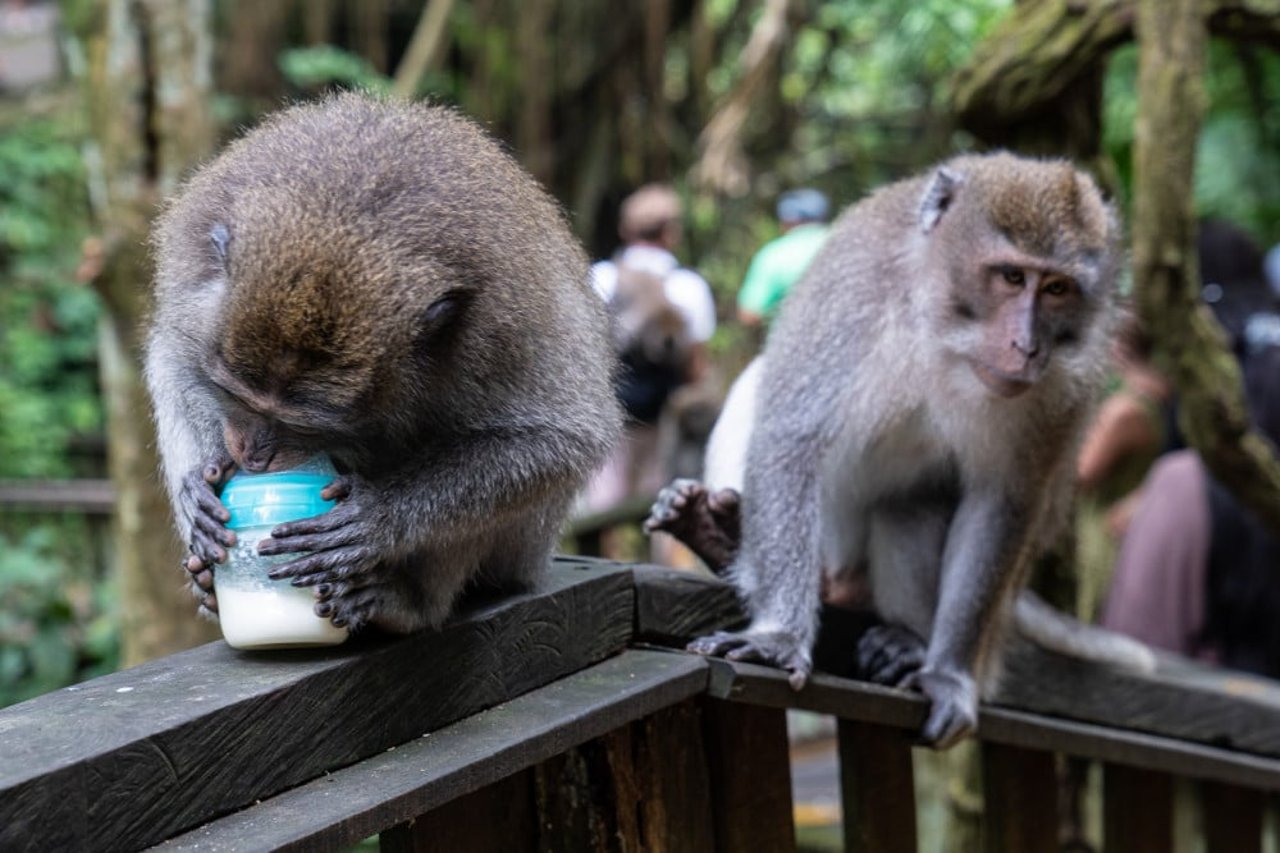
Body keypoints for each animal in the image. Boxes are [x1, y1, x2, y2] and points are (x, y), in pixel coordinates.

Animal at [147, 96, 622, 635]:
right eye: (235, 397)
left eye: (301, 426)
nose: (253, 455)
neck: (343, 213)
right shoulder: (194, 287)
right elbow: (172, 358)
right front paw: (202, 486)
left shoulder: (510, 330)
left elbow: (561, 441)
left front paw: (378, 516)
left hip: (522, 551)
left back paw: (406, 603)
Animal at [665, 153, 1157, 742]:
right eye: (1012, 276)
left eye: (1057, 288)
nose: (1027, 347)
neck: (942, 331)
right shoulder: (855, 290)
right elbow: (790, 435)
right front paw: (779, 636)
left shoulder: (1061, 391)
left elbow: (1001, 501)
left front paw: (947, 674)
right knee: (756, 386)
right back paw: (716, 535)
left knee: (908, 509)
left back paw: (908, 639)